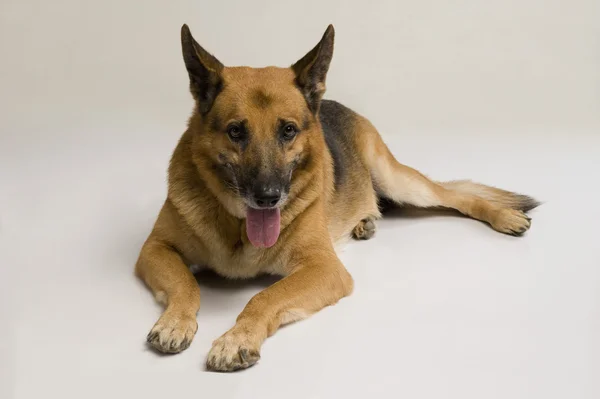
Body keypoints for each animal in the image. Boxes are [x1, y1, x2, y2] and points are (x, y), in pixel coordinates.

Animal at [136, 24, 540, 372]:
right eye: (236, 132)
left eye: (288, 131)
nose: (268, 198)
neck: (237, 225)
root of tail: (334, 104)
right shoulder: (154, 248)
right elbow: (186, 283)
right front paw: (175, 321)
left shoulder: (325, 268)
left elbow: (263, 297)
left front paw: (237, 338)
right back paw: (365, 222)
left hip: (399, 180)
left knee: (456, 196)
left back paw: (504, 216)